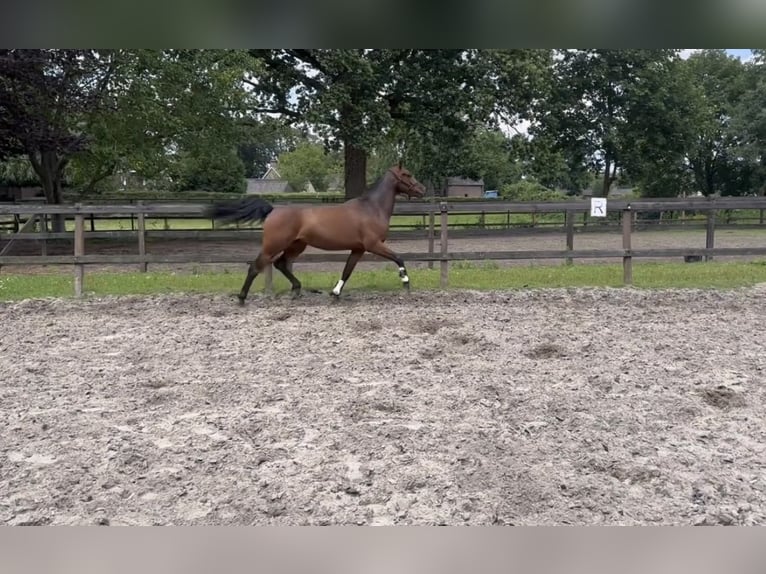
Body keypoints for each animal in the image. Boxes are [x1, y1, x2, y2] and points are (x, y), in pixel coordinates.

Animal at [207, 164, 428, 304]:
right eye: (407, 174)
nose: (423, 189)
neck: (371, 208)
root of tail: (273, 210)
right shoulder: (373, 245)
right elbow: (399, 258)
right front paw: (405, 282)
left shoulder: (358, 249)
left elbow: (347, 271)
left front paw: (335, 293)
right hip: (274, 245)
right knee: (255, 267)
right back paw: (242, 298)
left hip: (297, 245)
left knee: (280, 264)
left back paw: (297, 290)